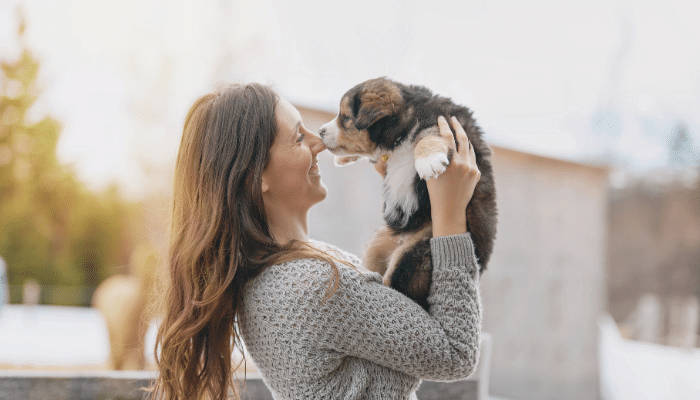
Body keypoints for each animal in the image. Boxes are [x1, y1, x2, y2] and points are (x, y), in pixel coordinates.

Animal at [318, 77, 498, 310]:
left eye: (346, 118)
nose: (320, 131)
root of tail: (402, 239)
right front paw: (342, 158)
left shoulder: (445, 126)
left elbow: (427, 137)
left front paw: (429, 162)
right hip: (378, 243)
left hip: (417, 252)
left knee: (399, 288)